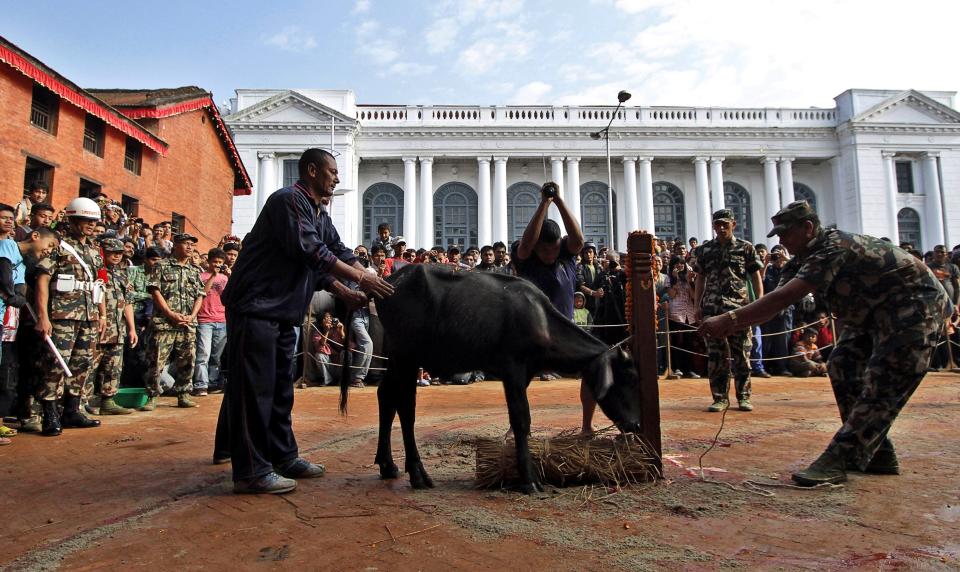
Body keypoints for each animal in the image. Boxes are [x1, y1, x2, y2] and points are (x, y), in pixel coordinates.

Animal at [342, 264, 640, 492]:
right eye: (627, 379)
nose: (635, 424)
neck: (540, 320)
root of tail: (389, 281)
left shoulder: (524, 374)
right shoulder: (513, 370)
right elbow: (521, 420)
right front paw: (528, 480)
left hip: (397, 356)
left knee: (387, 396)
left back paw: (388, 465)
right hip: (407, 354)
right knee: (405, 406)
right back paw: (417, 473)